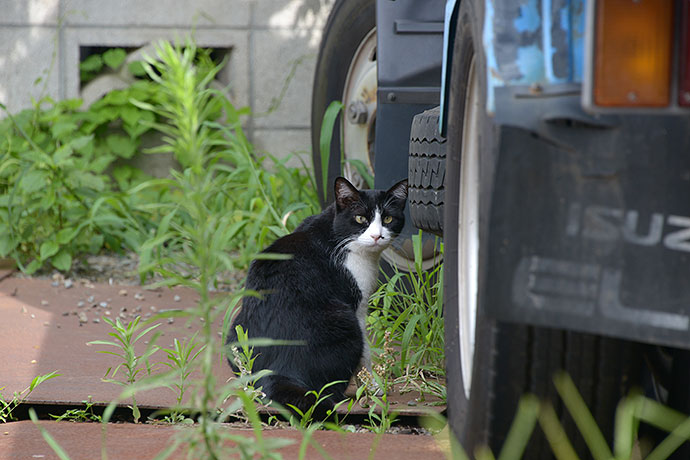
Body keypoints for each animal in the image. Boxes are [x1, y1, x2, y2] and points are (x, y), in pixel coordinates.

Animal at [226, 177, 408, 420]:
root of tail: (277, 369)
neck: (337, 234)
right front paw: (371, 386)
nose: (377, 236)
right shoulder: (357, 307)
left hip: (235, 331)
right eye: (360, 218)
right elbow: (366, 354)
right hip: (343, 318)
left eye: (388, 218)